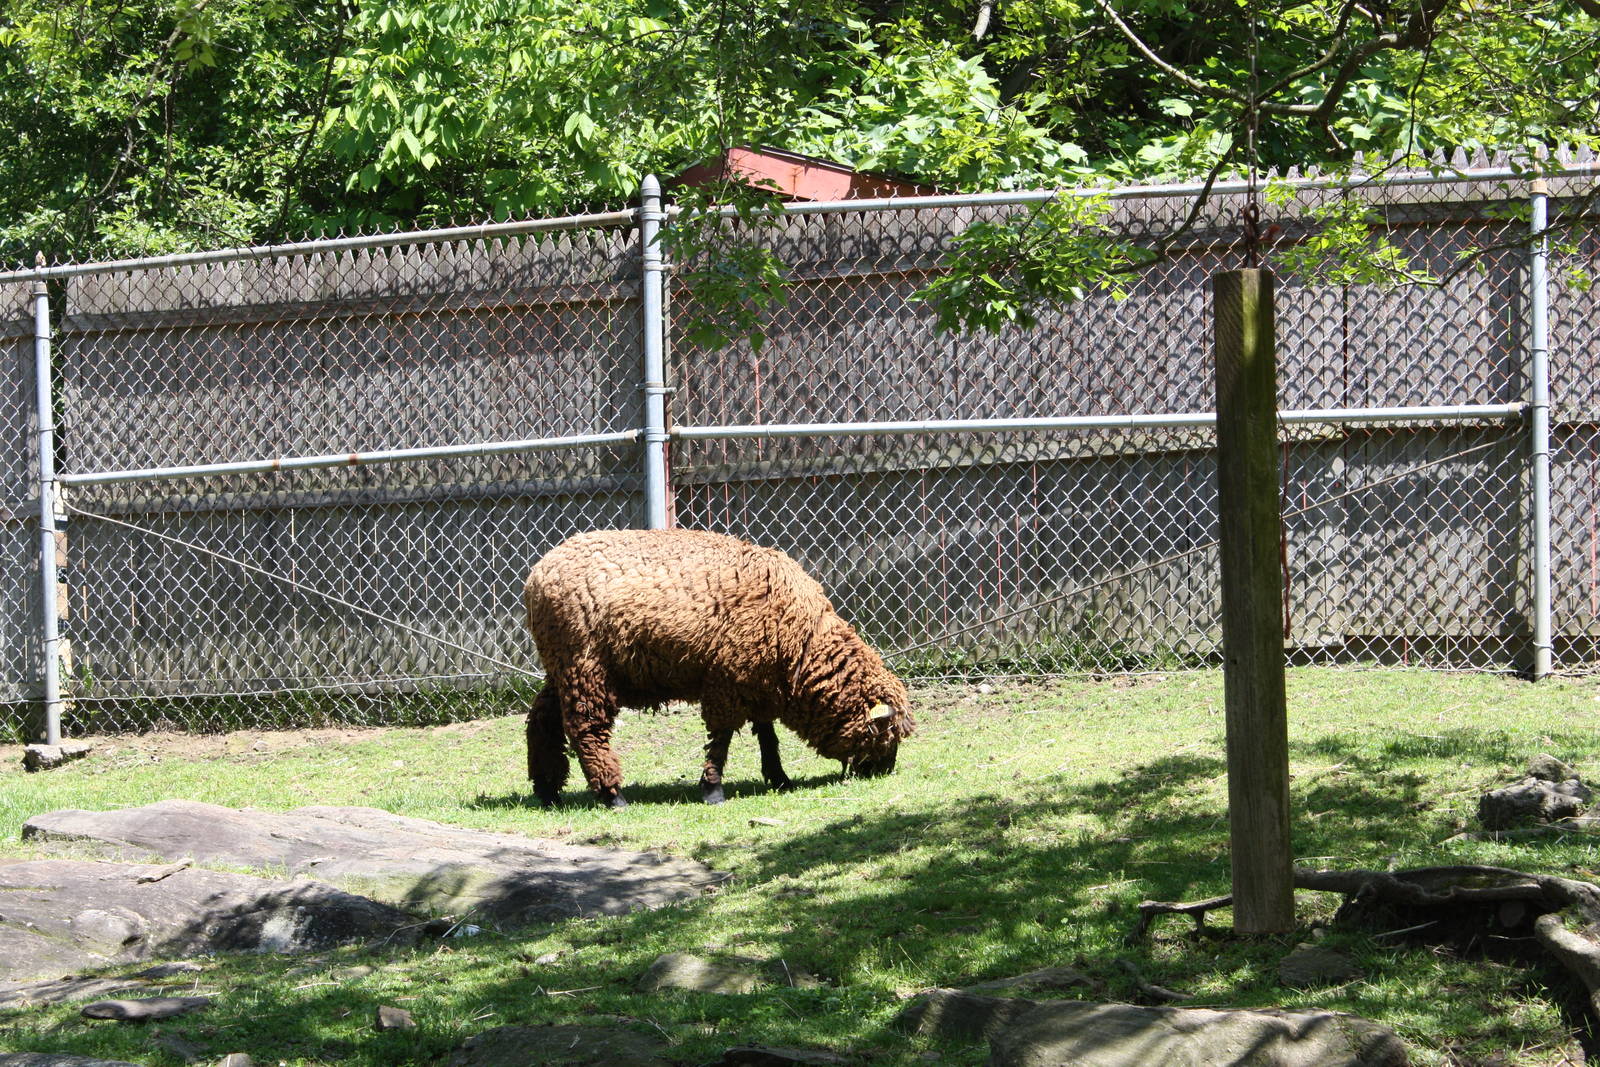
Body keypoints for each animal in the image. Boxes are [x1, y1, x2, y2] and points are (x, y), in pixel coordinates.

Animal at [522, 528, 915, 808]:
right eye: (885, 734)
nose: (884, 773)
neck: (803, 644)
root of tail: (538, 575)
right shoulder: (728, 680)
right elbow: (723, 737)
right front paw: (713, 789)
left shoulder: (756, 680)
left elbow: (766, 734)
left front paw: (778, 777)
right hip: (585, 664)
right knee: (585, 728)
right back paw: (612, 795)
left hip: (561, 664)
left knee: (542, 719)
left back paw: (547, 790)